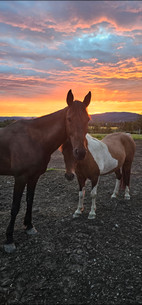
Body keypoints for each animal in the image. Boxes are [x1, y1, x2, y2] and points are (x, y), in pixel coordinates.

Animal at [0, 89, 91, 251]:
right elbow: (15, 206)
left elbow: (30, 200)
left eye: (88, 119)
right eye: (69, 119)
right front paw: (9, 239)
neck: (34, 139)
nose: (80, 152)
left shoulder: (33, 177)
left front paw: (29, 226)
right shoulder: (20, 177)